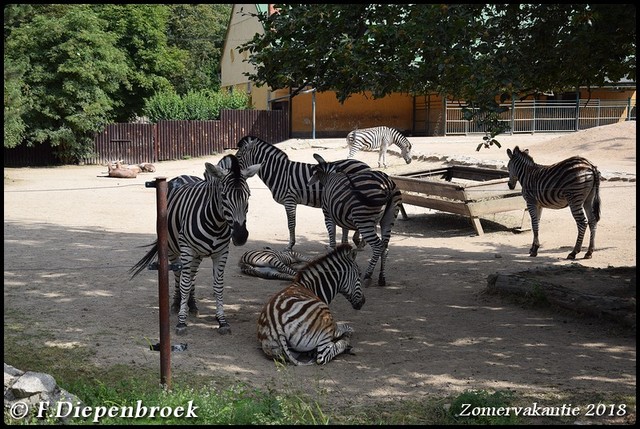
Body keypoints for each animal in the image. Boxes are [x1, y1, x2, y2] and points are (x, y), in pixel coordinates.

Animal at [234, 135, 370, 251]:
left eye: (238, 156)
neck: (279, 172)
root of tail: (366, 166)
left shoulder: (289, 200)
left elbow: (291, 224)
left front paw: (290, 246)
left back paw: (358, 241)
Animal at [308, 152, 402, 286]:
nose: (308, 183)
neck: (331, 176)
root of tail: (387, 184)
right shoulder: (342, 217)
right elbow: (344, 239)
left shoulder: (328, 215)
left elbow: (332, 238)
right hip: (388, 219)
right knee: (385, 247)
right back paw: (381, 278)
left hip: (363, 219)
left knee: (378, 246)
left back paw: (368, 275)